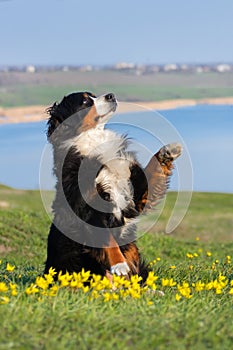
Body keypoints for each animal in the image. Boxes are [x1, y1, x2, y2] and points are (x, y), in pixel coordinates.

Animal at [44, 91, 182, 284]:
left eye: (94, 95)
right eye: (85, 101)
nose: (111, 95)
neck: (93, 145)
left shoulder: (133, 198)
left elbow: (151, 171)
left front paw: (166, 152)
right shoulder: (89, 210)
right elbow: (108, 240)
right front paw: (119, 264)